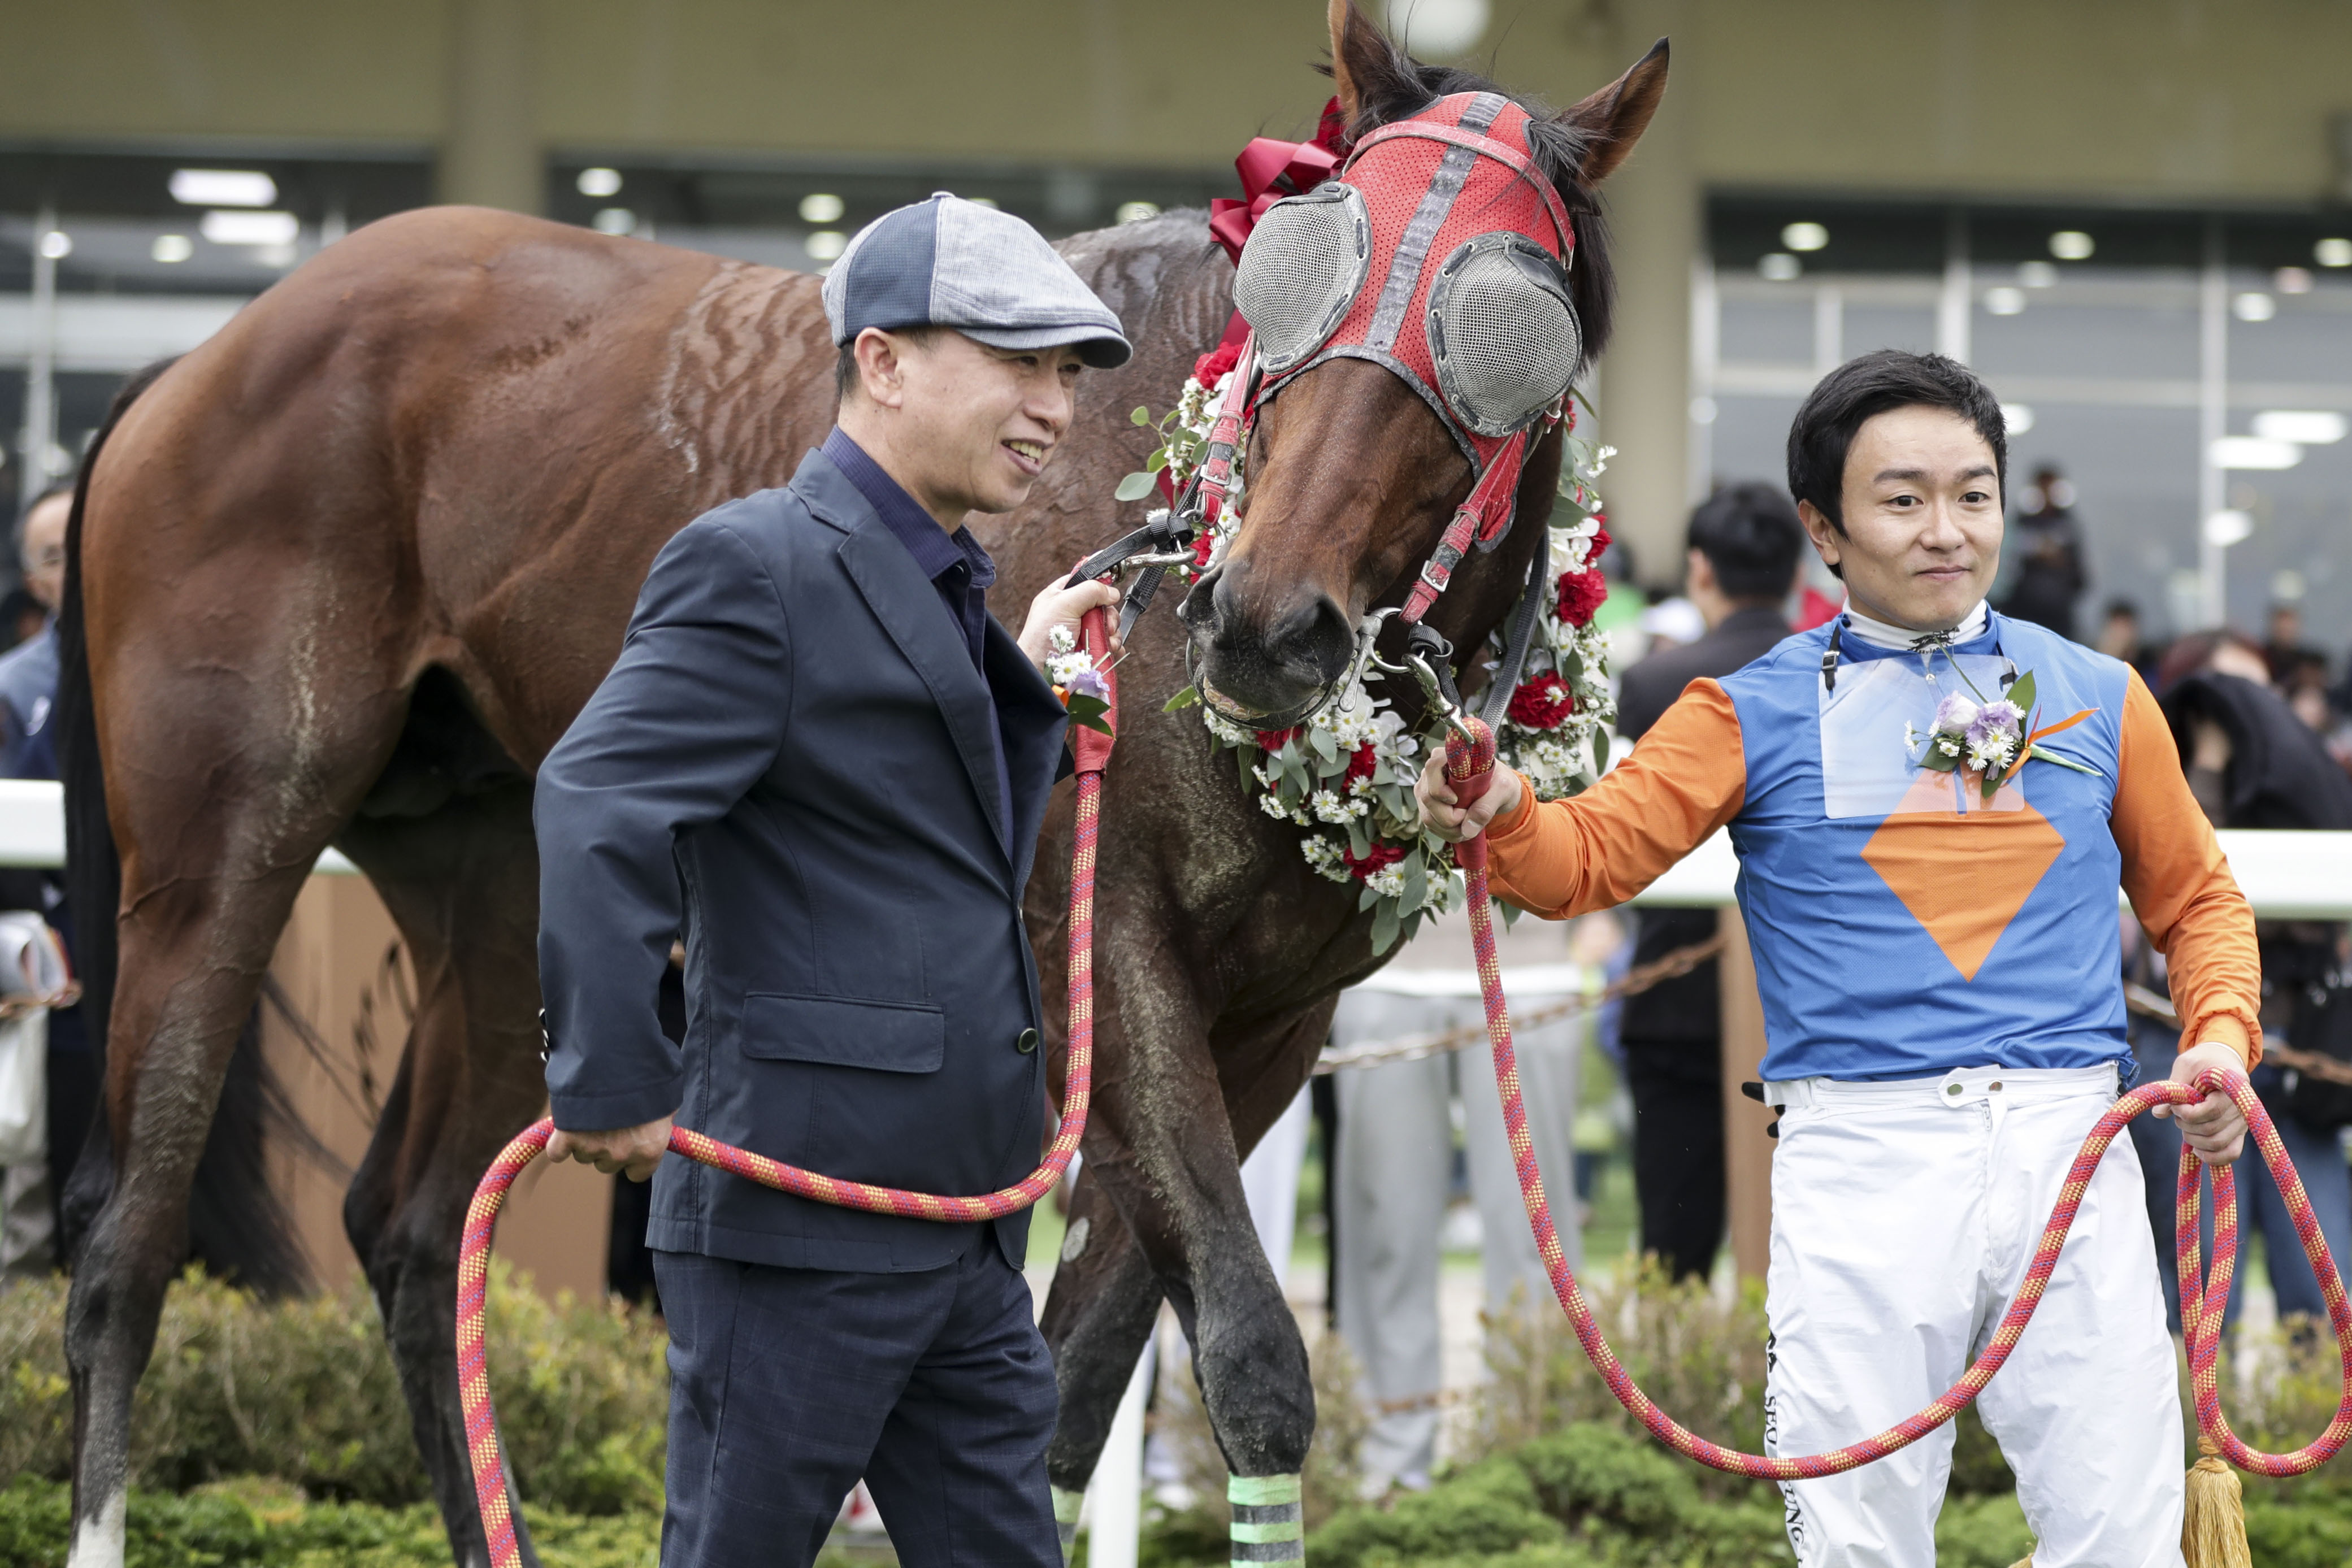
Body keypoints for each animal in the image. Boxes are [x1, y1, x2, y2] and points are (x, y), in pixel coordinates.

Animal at [59, 6, 1674, 1561]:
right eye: (1294, 272)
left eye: (1509, 321)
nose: (1267, 624)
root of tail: (202, 355)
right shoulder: (1101, 945)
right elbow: (1250, 1358)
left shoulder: (1271, 1022)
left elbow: (1069, 1390)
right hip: (220, 847)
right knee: (123, 1239)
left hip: (504, 875)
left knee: (413, 1223)